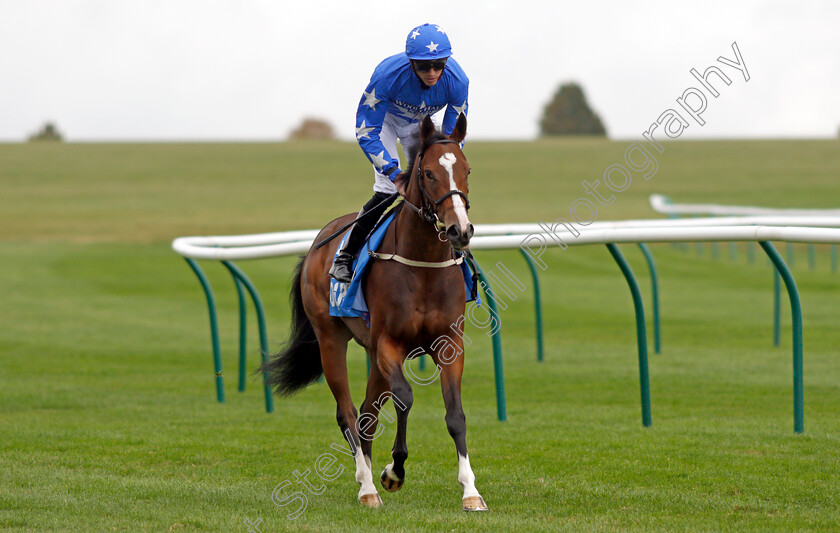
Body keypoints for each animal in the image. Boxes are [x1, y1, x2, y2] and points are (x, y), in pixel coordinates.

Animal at [260, 114, 486, 510]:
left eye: (467, 170)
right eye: (429, 173)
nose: (460, 230)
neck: (423, 266)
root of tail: (319, 241)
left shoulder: (449, 344)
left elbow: (455, 414)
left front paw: (471, 491)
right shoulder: (388, 344)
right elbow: (406, 398)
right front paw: (393, 471)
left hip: (369, 351)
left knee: (367, 413)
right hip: (331, 340)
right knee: (349, 413)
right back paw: (367, 486)